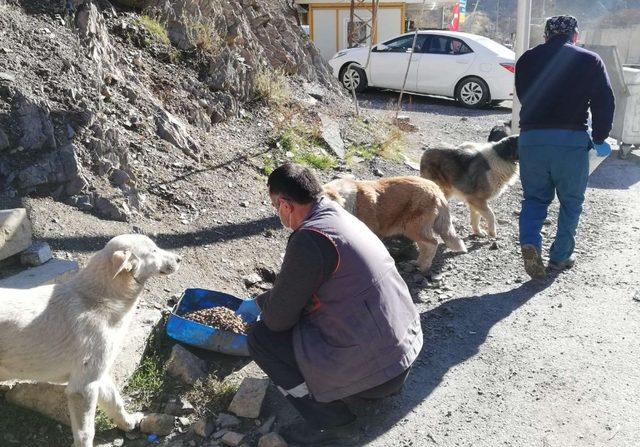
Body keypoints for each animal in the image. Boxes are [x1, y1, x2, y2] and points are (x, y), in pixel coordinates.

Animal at [0, 234, 181, 447]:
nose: (179, 259)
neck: (98, 299)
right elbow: (86, 433)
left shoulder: (99, 376)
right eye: (153, 250)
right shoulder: (83, 387)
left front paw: (128, 424)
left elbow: (116, 403)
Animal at [324, 177, 464, 272]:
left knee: (432, 244)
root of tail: (437, 190)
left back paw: (423, 266)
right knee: (425, 245)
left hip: (413, 227)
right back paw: (417, 263)